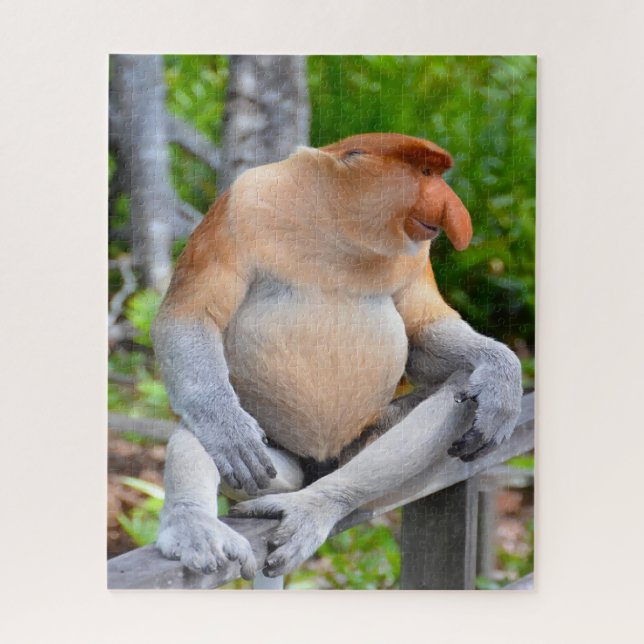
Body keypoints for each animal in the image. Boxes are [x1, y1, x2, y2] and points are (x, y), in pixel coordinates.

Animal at [152, 133, 523, 579]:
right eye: (426, 172)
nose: (456, 211)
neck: (338, 225)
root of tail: (319, 463)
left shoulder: (417, 253)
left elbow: (422, 331)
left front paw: (503, 376)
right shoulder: (239, 206)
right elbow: (190, 318)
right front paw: (228, 431)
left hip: (357, 446)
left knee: (460, 390)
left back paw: (318, 504)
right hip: (271, 460)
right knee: (200, 430)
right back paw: (198, 525)